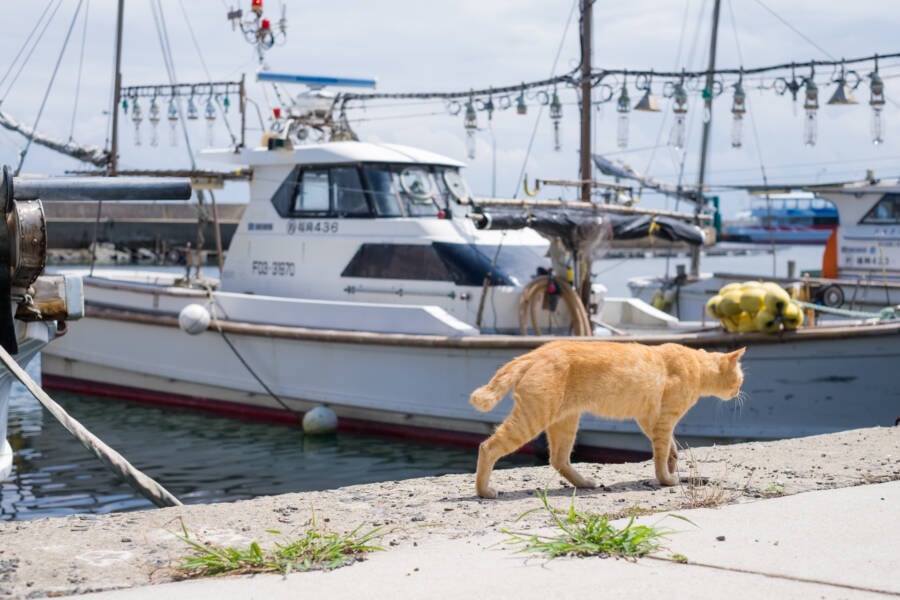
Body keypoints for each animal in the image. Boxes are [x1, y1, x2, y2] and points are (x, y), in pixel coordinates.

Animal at [472, 340, 744, 500]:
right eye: (740, 379)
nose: (739, 392)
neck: (696, 365)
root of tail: (534, 353)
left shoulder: (648, 419)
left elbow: (670, 447)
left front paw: (672, 461)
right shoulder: (664, 420)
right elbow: (660, 454)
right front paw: (666, 479)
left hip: (565, 421)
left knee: (558, 459)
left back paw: (584, 483)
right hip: (532, 418)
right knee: (488, 447)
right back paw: (484, 491)